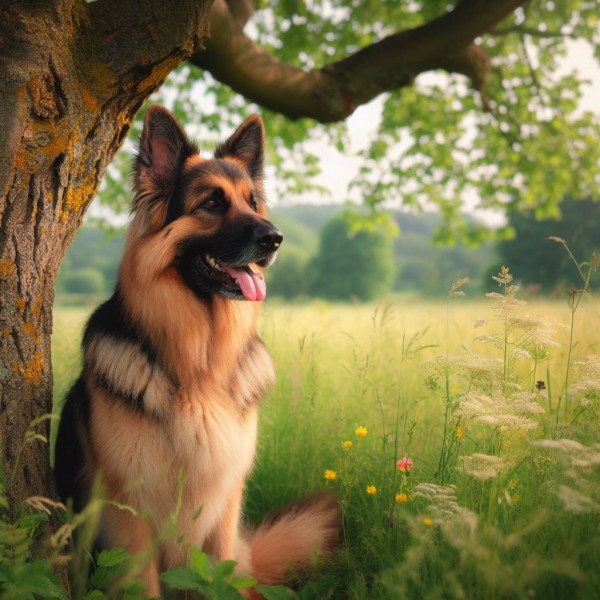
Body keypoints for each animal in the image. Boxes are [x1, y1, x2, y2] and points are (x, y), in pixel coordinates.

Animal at [54, 106, 340, 596]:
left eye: (252, 202)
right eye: (212, 204)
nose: (275, 239)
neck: (199, 365)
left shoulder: (224, 506)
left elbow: (217, 575)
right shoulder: (130, 518)